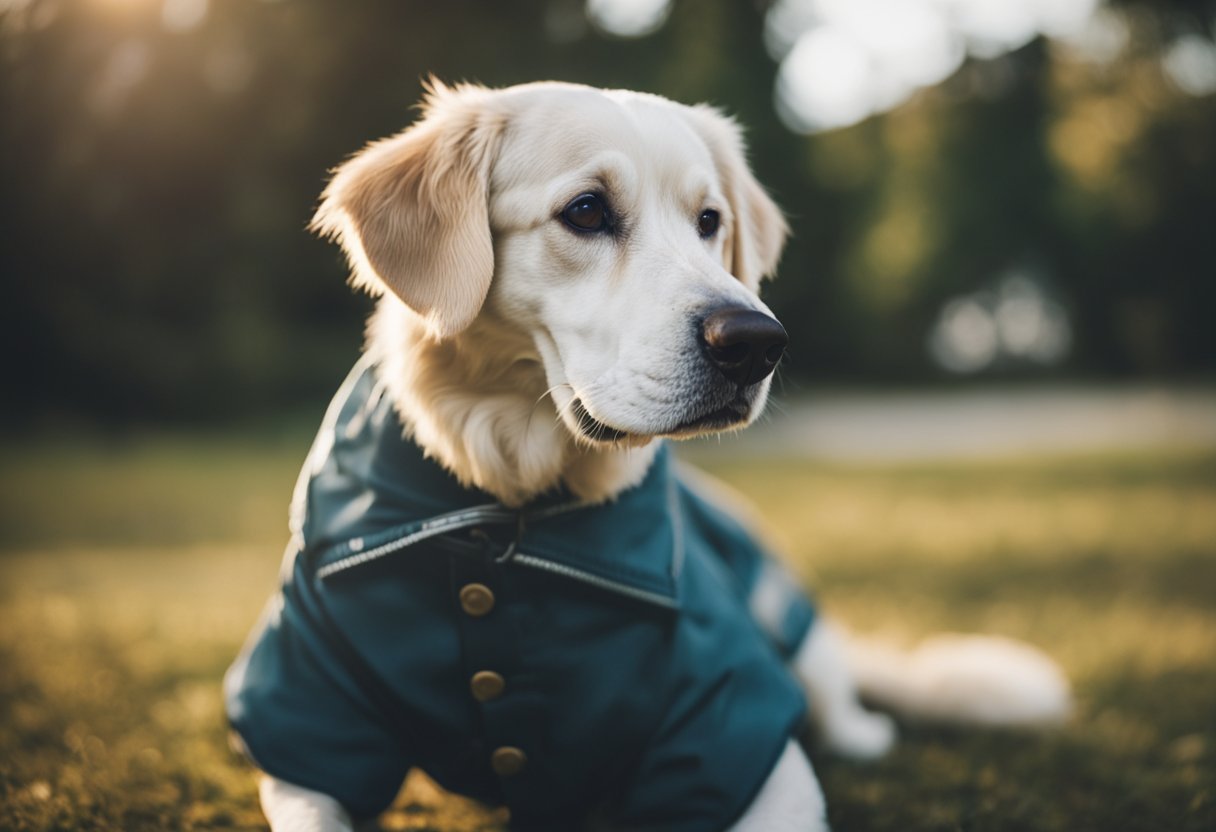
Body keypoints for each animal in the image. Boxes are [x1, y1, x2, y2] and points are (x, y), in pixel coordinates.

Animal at [223, 79, 1070, 832]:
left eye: (710, 220)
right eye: (586, 211)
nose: (757, 342)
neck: (508, 509)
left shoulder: (741, 735)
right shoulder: (308, 720)